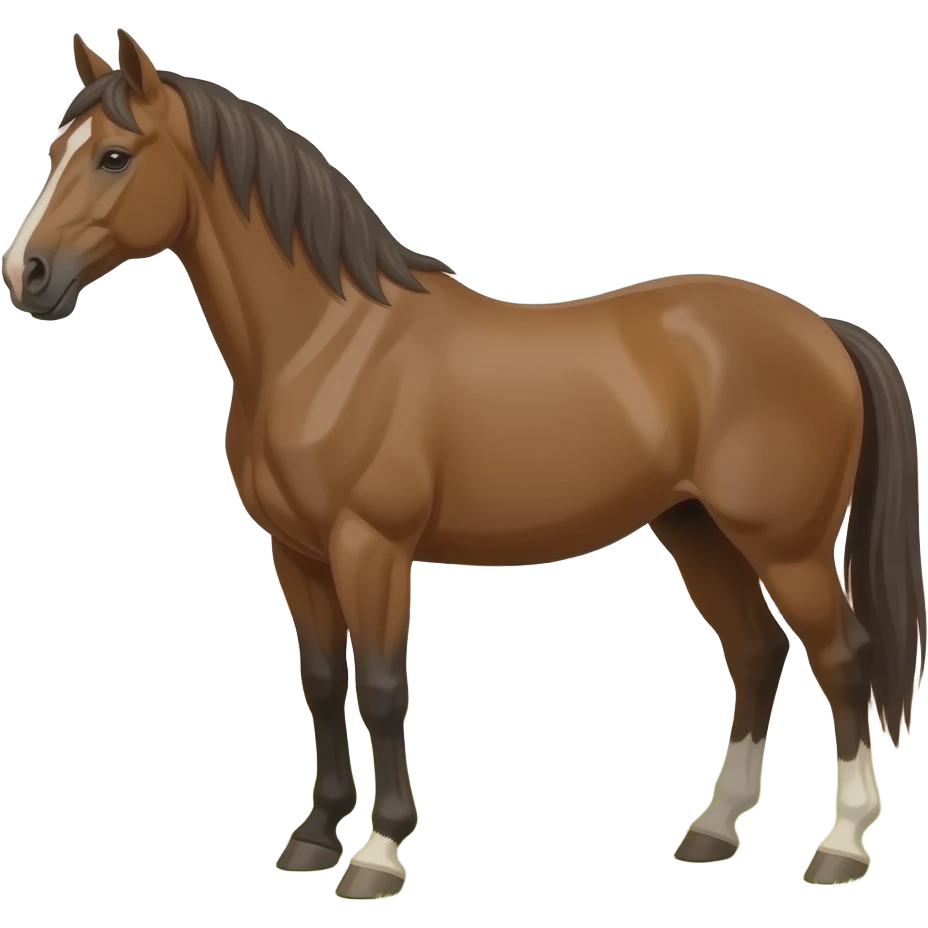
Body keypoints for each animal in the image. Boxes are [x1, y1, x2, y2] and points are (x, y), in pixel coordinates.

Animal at [2, 30, 923, 897]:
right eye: (53, 154)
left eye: (115, 157)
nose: (26, 274)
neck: (327, 344)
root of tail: (822, 330)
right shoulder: (296, 553)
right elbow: (322, 682)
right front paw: (314, 837)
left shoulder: (370, 547)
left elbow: (381, 687)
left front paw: (378, 854)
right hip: (697, 530)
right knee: (756, 654)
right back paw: (714, 829)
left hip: (786, 546)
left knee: (844, 658)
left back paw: (841, 845)